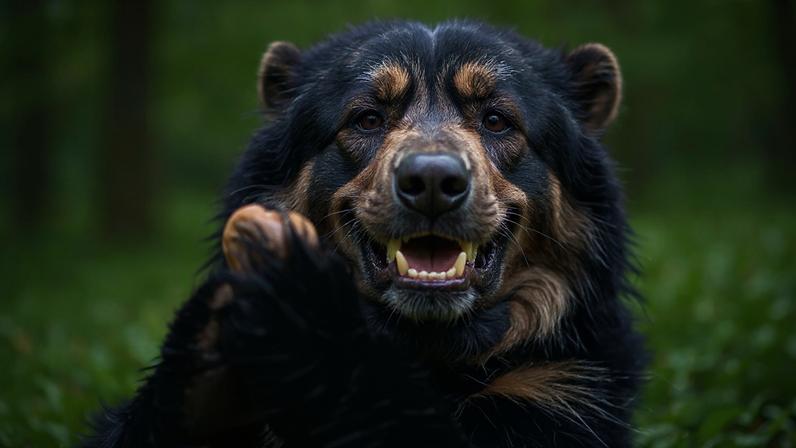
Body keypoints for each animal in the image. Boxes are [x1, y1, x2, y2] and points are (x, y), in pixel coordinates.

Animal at [82, 20, 646, 448]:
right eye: (368, 118)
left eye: (496, 120)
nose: (432, 181)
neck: (429, 341)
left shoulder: (556, 387)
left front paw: (298, 296)